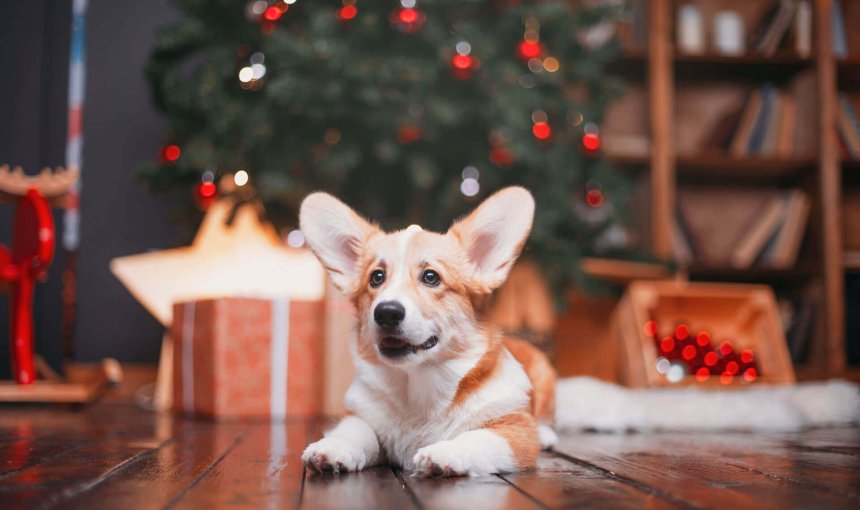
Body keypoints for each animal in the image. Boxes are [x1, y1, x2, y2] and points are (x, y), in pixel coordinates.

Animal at [300, 187, 556, 478]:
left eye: (431, 277)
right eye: (377, 277)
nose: (386, 312)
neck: (417, 388)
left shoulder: (514, 431)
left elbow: (476, 437)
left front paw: (444, 453)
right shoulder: (359, 416)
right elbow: (355, 432)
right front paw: (332, 448)